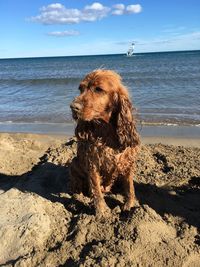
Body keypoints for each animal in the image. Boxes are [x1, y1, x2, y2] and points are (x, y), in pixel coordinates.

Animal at [69, 69, 140, 218]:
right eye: (81, 89)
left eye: (99, 89)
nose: (73, 107)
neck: (106, 131)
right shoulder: (92, 163)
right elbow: (96, 189)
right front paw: (102, 211)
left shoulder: (127, 161)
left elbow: (129, 186)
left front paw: (130, 204)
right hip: (74, 162)